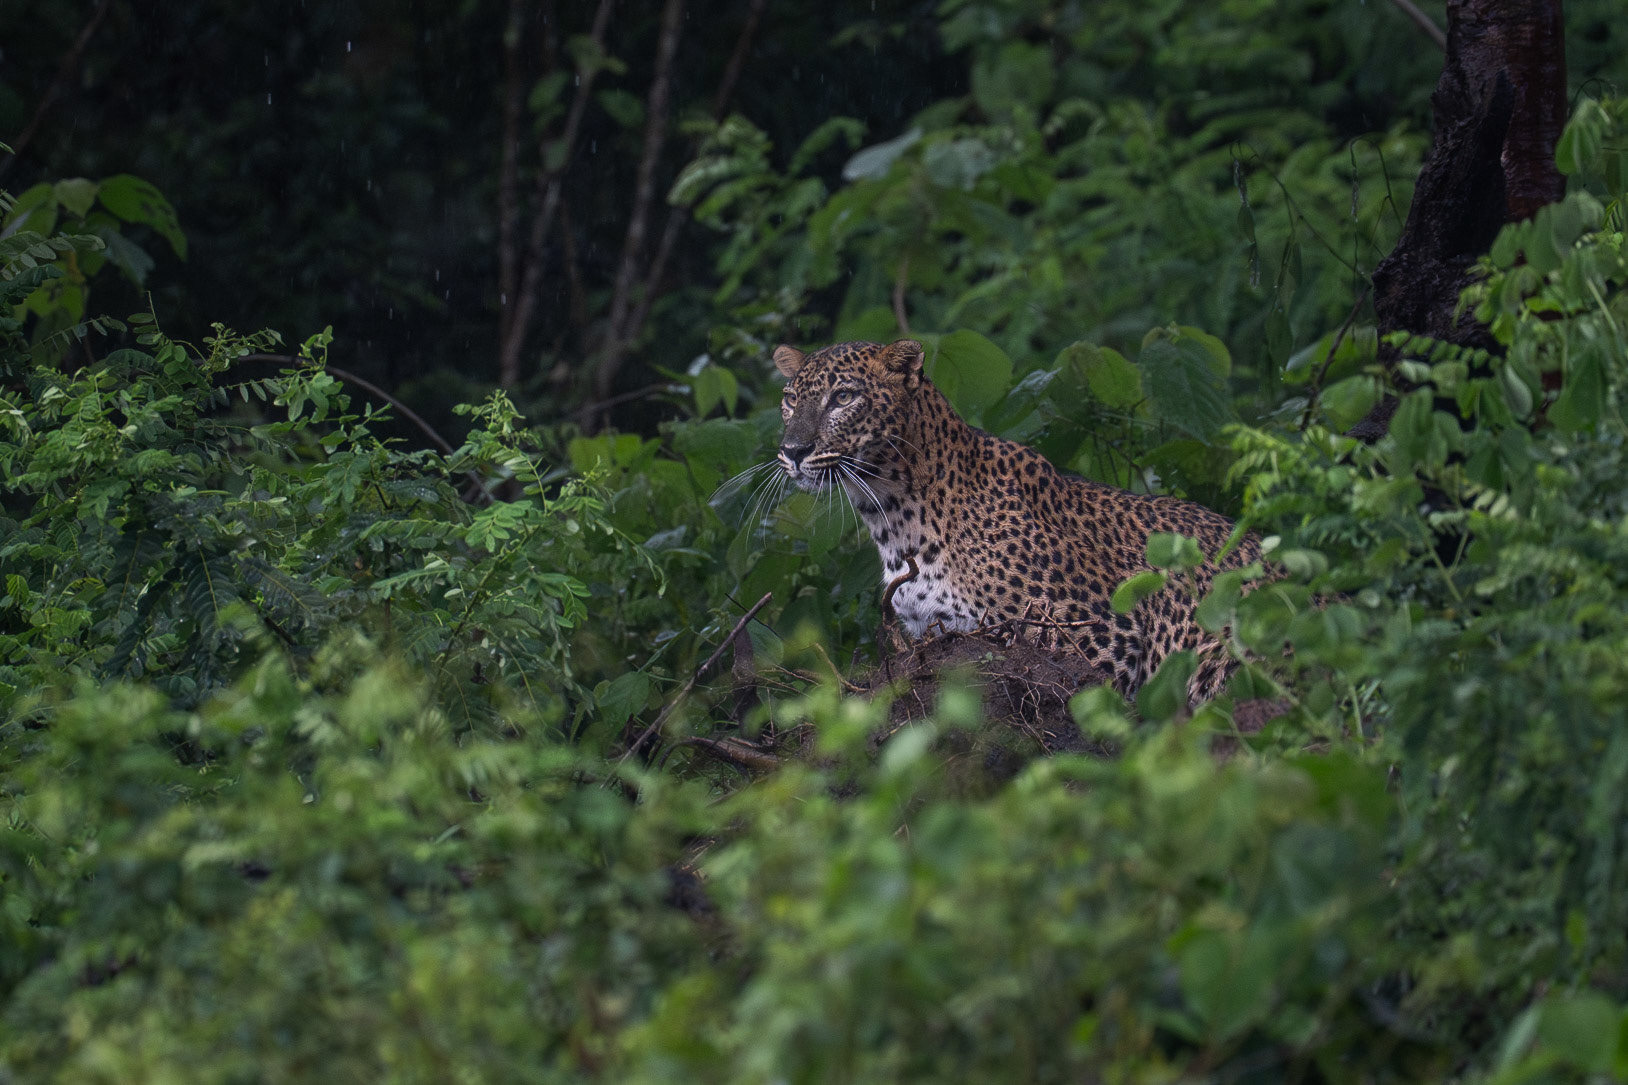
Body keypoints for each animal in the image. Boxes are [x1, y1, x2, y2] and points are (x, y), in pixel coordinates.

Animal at [772, 336, 1263, 704]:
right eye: (791, 400)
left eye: (843, 397)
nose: (792, 451)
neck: (892, 517)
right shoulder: (932, 630)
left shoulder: (1102, 633)